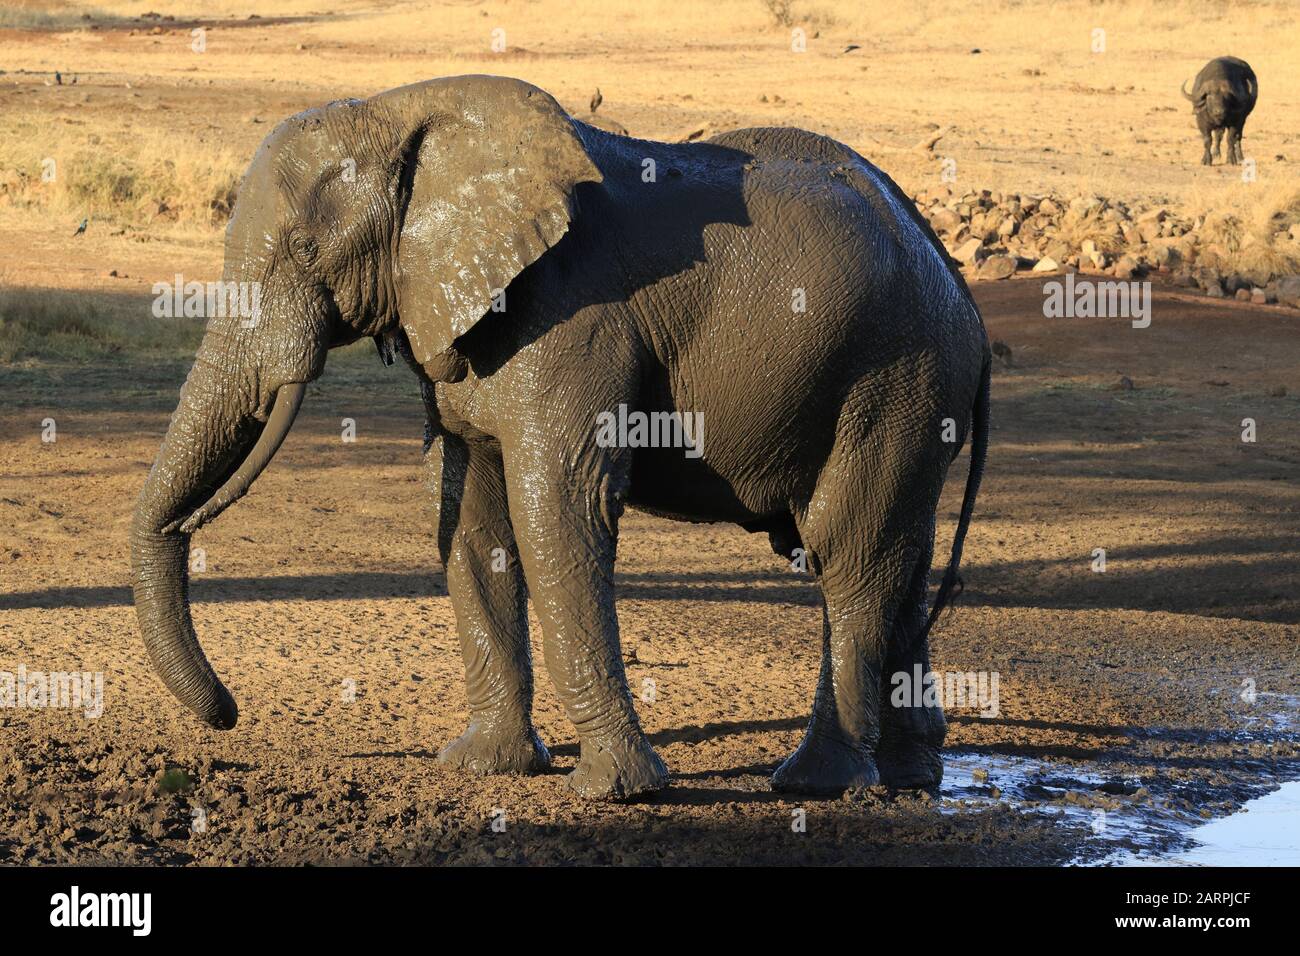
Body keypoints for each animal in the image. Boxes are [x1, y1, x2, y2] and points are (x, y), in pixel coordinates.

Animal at [129, 76, 982, 801]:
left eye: (305, 253)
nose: (227, 715)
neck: (403, 112)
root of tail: (954, 274)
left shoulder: (575, 321)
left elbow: (557, 515)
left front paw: (617, 792)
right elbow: (470, 521)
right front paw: (484, 768)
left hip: (891, 374)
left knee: (846, 552)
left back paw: (815, 784)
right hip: (907, 388)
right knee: (901, 557)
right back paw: (911, 777)